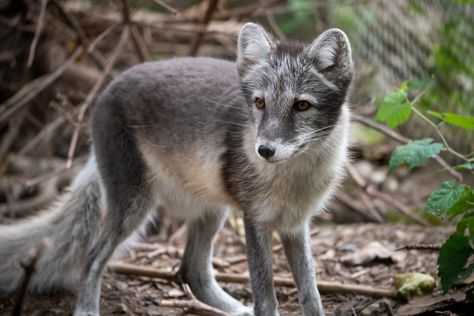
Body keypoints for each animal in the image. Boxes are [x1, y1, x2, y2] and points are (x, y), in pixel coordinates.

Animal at [0, 22, 352, 316]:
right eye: (260, 103)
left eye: (302, 105)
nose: (264, 150)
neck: (295, 178)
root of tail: (110, 86)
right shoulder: (256, 221)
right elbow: (266, 298)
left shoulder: (295, 225)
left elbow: (311, 293)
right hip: (134, 207)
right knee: (93, 256)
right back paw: (86, 309)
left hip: (212, 209)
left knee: (191, 272)